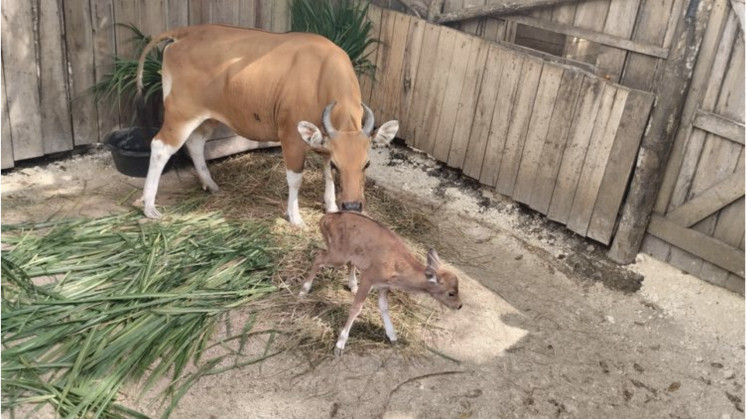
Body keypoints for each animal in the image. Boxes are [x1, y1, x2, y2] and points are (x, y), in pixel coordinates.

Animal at [135, 24, 399, 226]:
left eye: (367, 164)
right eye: (338, 164)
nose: (352, 205)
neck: (321, 78)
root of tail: (185, 31)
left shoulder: (325, 142)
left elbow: (325, 175)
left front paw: (332, 206)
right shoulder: (291, 138)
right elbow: (296, 179)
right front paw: (295, 217)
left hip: (207, 116)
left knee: (196, 143)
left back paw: (210, 184)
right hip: (181, 113)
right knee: (160, 147)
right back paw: (149, 207)